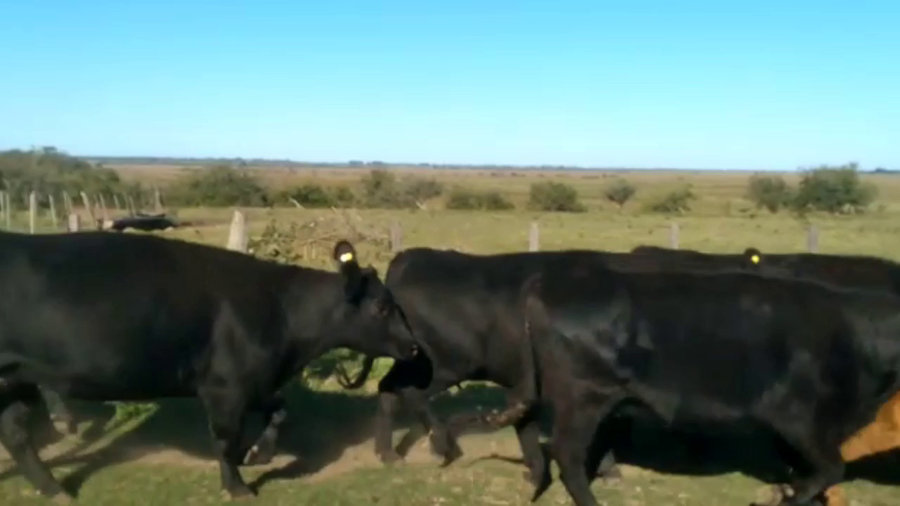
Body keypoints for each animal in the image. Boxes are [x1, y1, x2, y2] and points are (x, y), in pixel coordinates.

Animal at [0, 230, 420, 503]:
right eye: (382, 307)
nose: (414, 346)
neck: (282, 312)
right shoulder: (224, 387)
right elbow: (225, 439)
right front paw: (237, 486)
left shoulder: (256, 381)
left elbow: (279, 409)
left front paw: (259, 453)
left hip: (17, 378)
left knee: (16, 435)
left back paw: (54, 490)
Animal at [472, 261, 900, 506]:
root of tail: (550, 280)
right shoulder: (798, 419)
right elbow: (830, 470)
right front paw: (783, 498)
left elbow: (810, 474)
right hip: (584, 397)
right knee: (568, 454)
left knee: (525, 422)